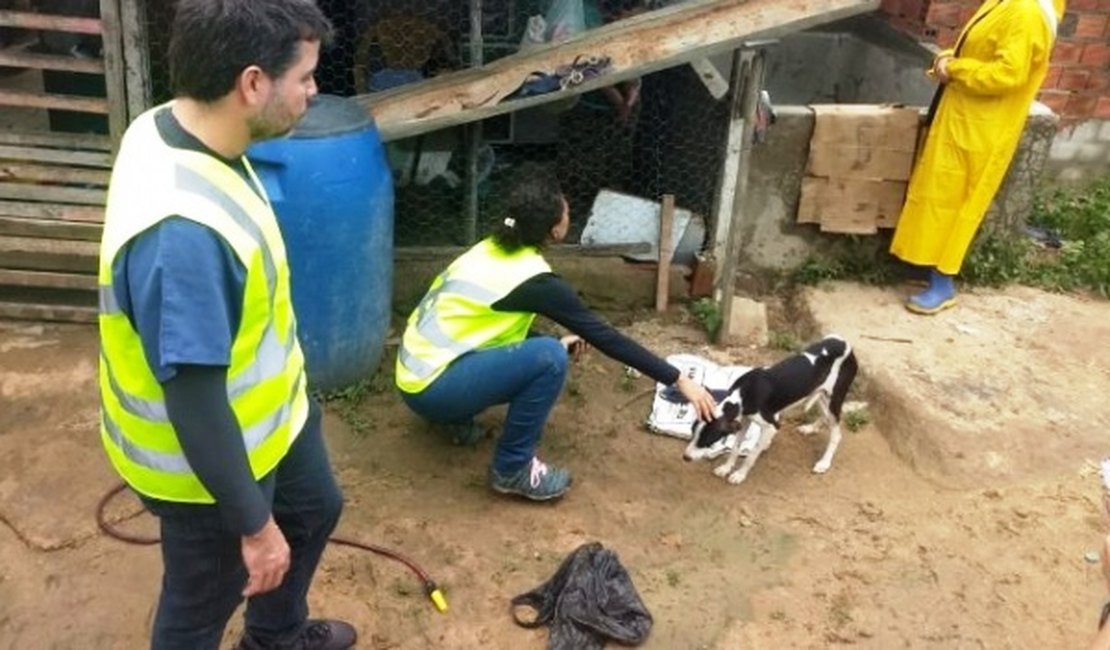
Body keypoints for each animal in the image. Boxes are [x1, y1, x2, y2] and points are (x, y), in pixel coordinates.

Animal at [683, 334, 856, 481]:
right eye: (692, 432)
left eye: (707, 440)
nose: (685, 457)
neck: (744, 393)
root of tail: (846, 343)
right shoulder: (744, 419)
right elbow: (735, 447)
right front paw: (726, 468)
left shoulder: (771, 426)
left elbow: (752, 454)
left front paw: (740, 474)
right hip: (822, 396)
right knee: (825, 417)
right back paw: (810, 428)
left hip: (834, 398)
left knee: (836, 434)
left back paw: (824, 463)